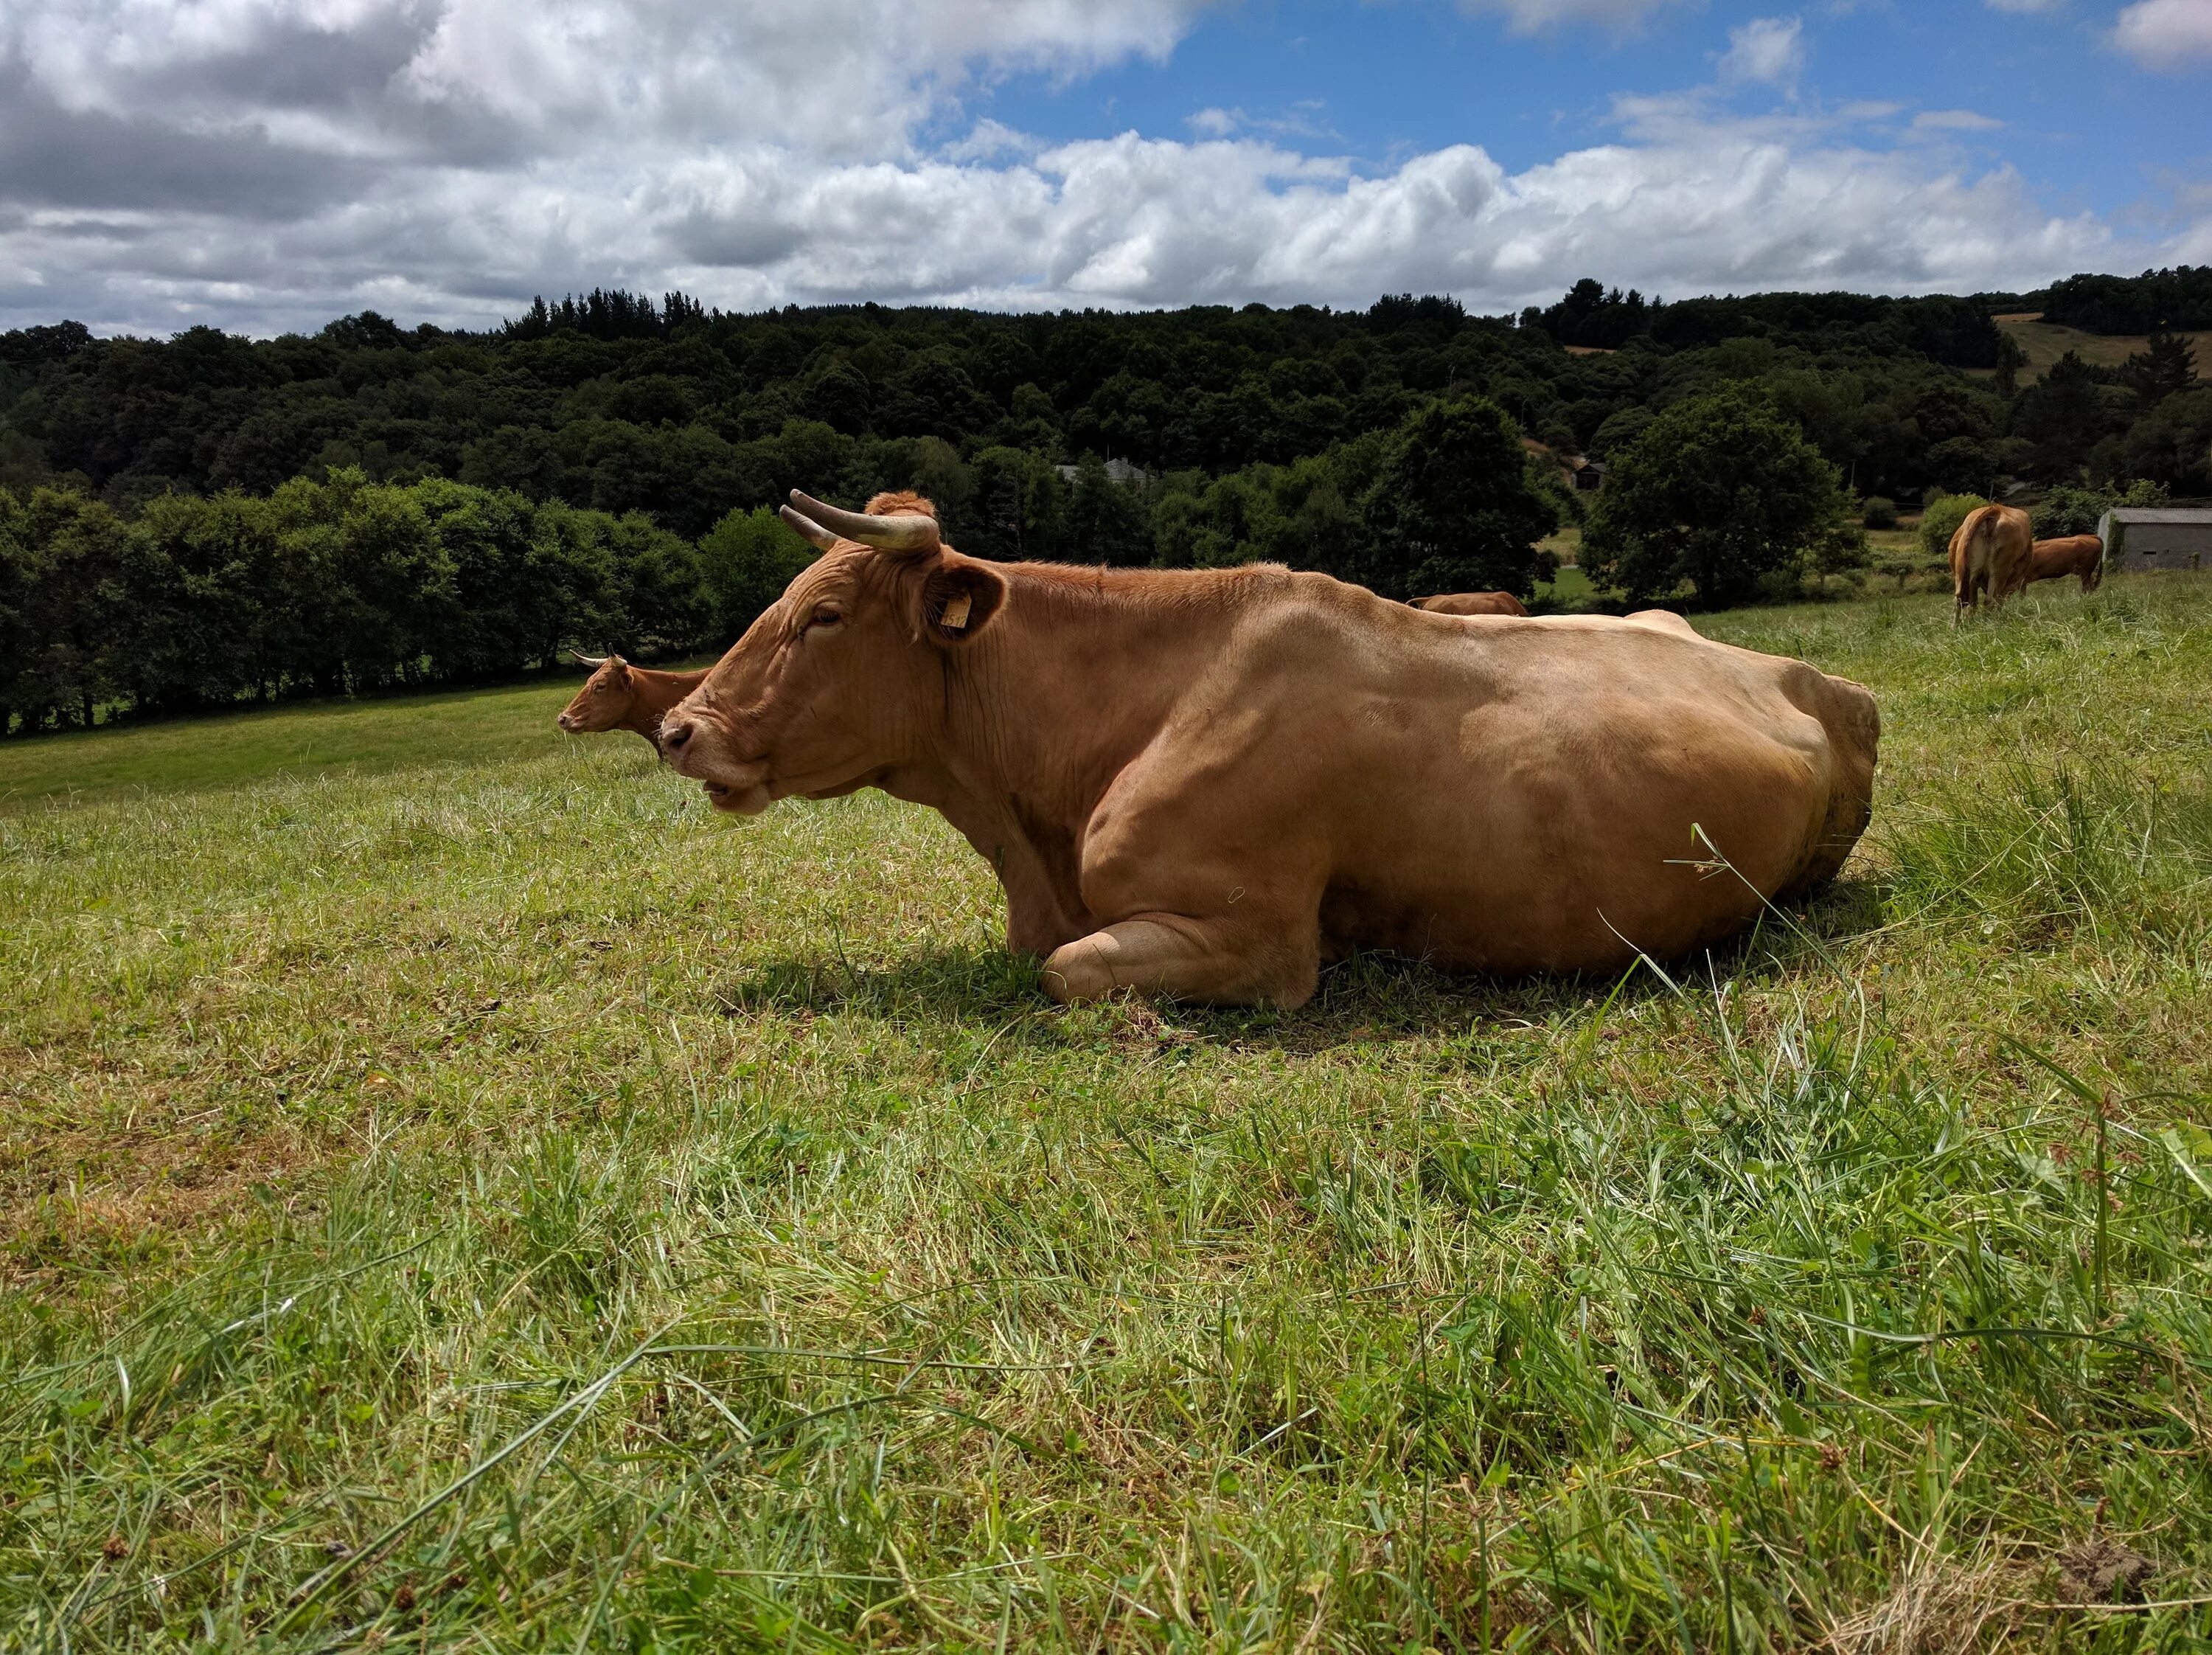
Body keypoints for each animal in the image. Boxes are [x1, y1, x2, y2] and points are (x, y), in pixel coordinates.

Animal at [1955, 500, 2035, 624]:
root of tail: (1996, 510)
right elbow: (2000, 600)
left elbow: (1973, 602)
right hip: (2000, 570)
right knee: (1990, 599)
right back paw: (1990, 623)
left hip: (1963, 569)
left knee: (1959, 597)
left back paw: (1956, 626)